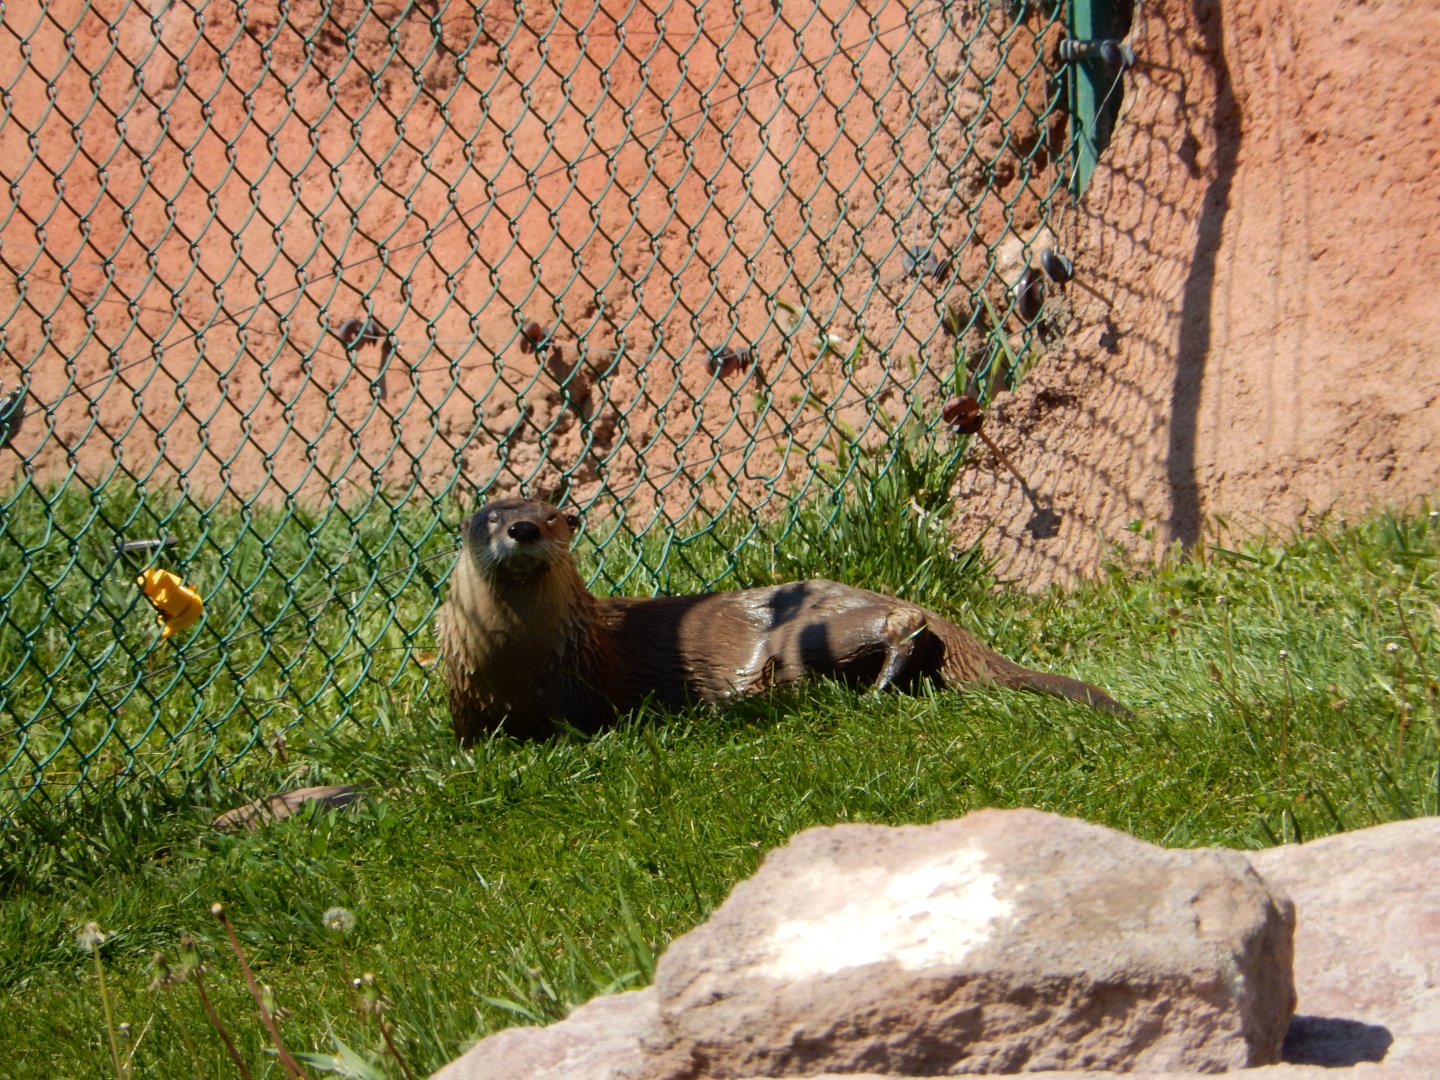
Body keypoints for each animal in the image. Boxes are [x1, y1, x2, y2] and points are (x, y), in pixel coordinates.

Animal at [437, 498, 1129, 743]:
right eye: (491, 517)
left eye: (552, 516)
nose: (524, 529)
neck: (516, 663)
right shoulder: (466, 708)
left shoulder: (584, 688)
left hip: (807, 636)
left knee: (902, 622)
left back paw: (879, 687)